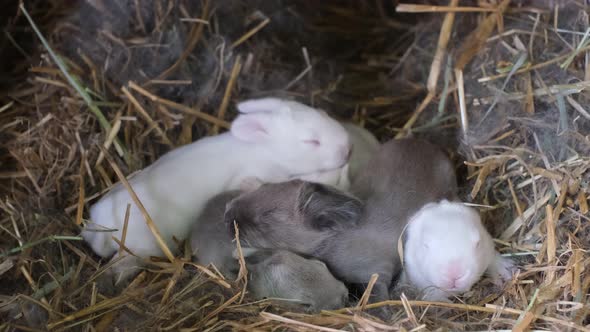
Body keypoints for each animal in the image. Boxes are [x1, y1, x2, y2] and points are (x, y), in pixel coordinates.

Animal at [82, 96, 352, 282]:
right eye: (312, 141)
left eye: (324, 113)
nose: (348, 149)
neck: (265, 150)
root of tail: (101, 229)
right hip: (142, 248)